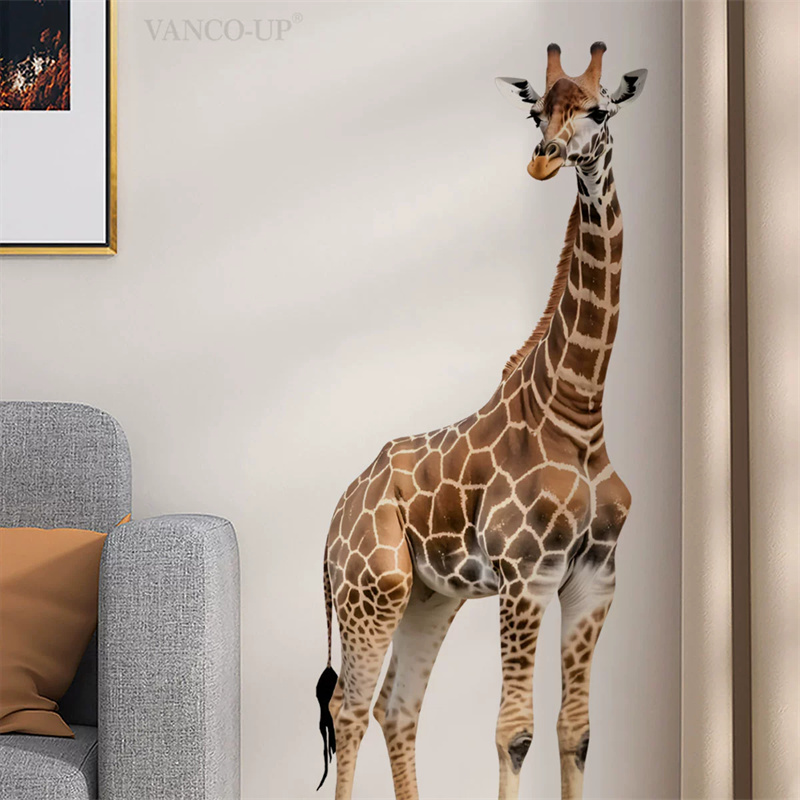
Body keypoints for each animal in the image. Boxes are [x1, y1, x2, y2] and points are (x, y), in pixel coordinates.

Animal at [315, 42, 647, 800]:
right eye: (536, 110)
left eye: (600, 110)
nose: (545, 159)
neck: (578, 409)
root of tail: (335, 517)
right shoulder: (527, 576)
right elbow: (513, 732)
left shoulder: (596, 578)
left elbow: (575, 732)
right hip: (371, 590)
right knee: (349, 706)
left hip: (428, 598)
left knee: (396, 704)